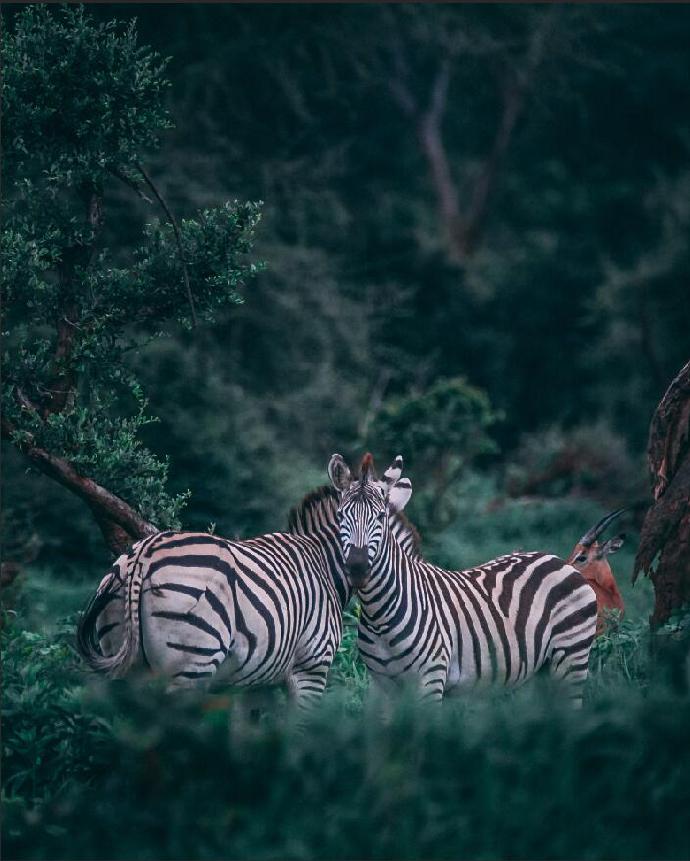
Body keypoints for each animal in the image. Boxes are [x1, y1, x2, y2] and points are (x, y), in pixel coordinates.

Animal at [76, 480, 420, 708]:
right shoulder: (312, 665)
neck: (323, 562)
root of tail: (144, 553)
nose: (359, 568)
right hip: (191, 663)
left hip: (124, 658)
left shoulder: (259, 679)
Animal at [328, 450, 596, 704]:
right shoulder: (381, 685)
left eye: (381, 518)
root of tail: (557, 560)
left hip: (572, 657)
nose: (357, 568)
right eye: (340, 516)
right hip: (539, 672)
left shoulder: (431, 678)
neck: (380, 615)